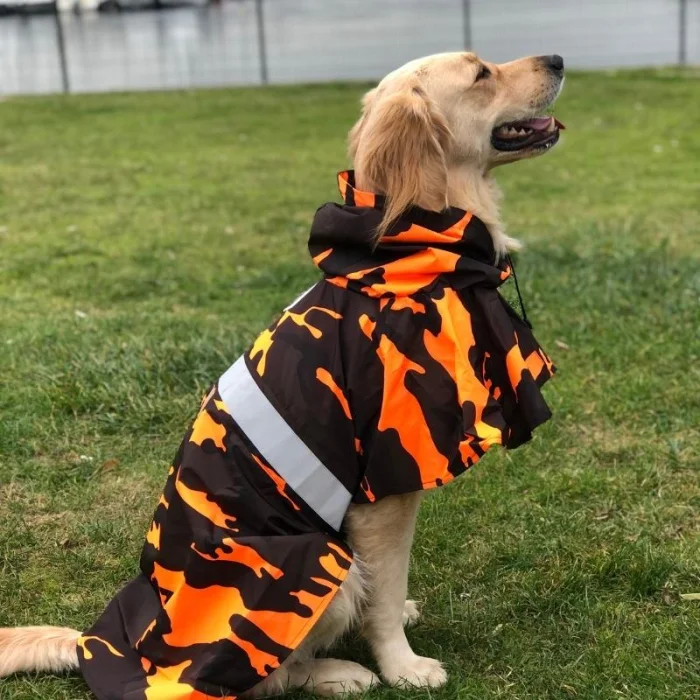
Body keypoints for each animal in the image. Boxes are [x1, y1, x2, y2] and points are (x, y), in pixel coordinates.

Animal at [0, 51, 564, 698]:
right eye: (480, 74)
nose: (558, 59)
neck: (400, 262)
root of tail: (120, 646)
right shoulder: (383, 492)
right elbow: (384, 593)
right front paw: (403, 666)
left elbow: (389, 591)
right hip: (321, 559)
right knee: (268, 676)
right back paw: (342, 673)